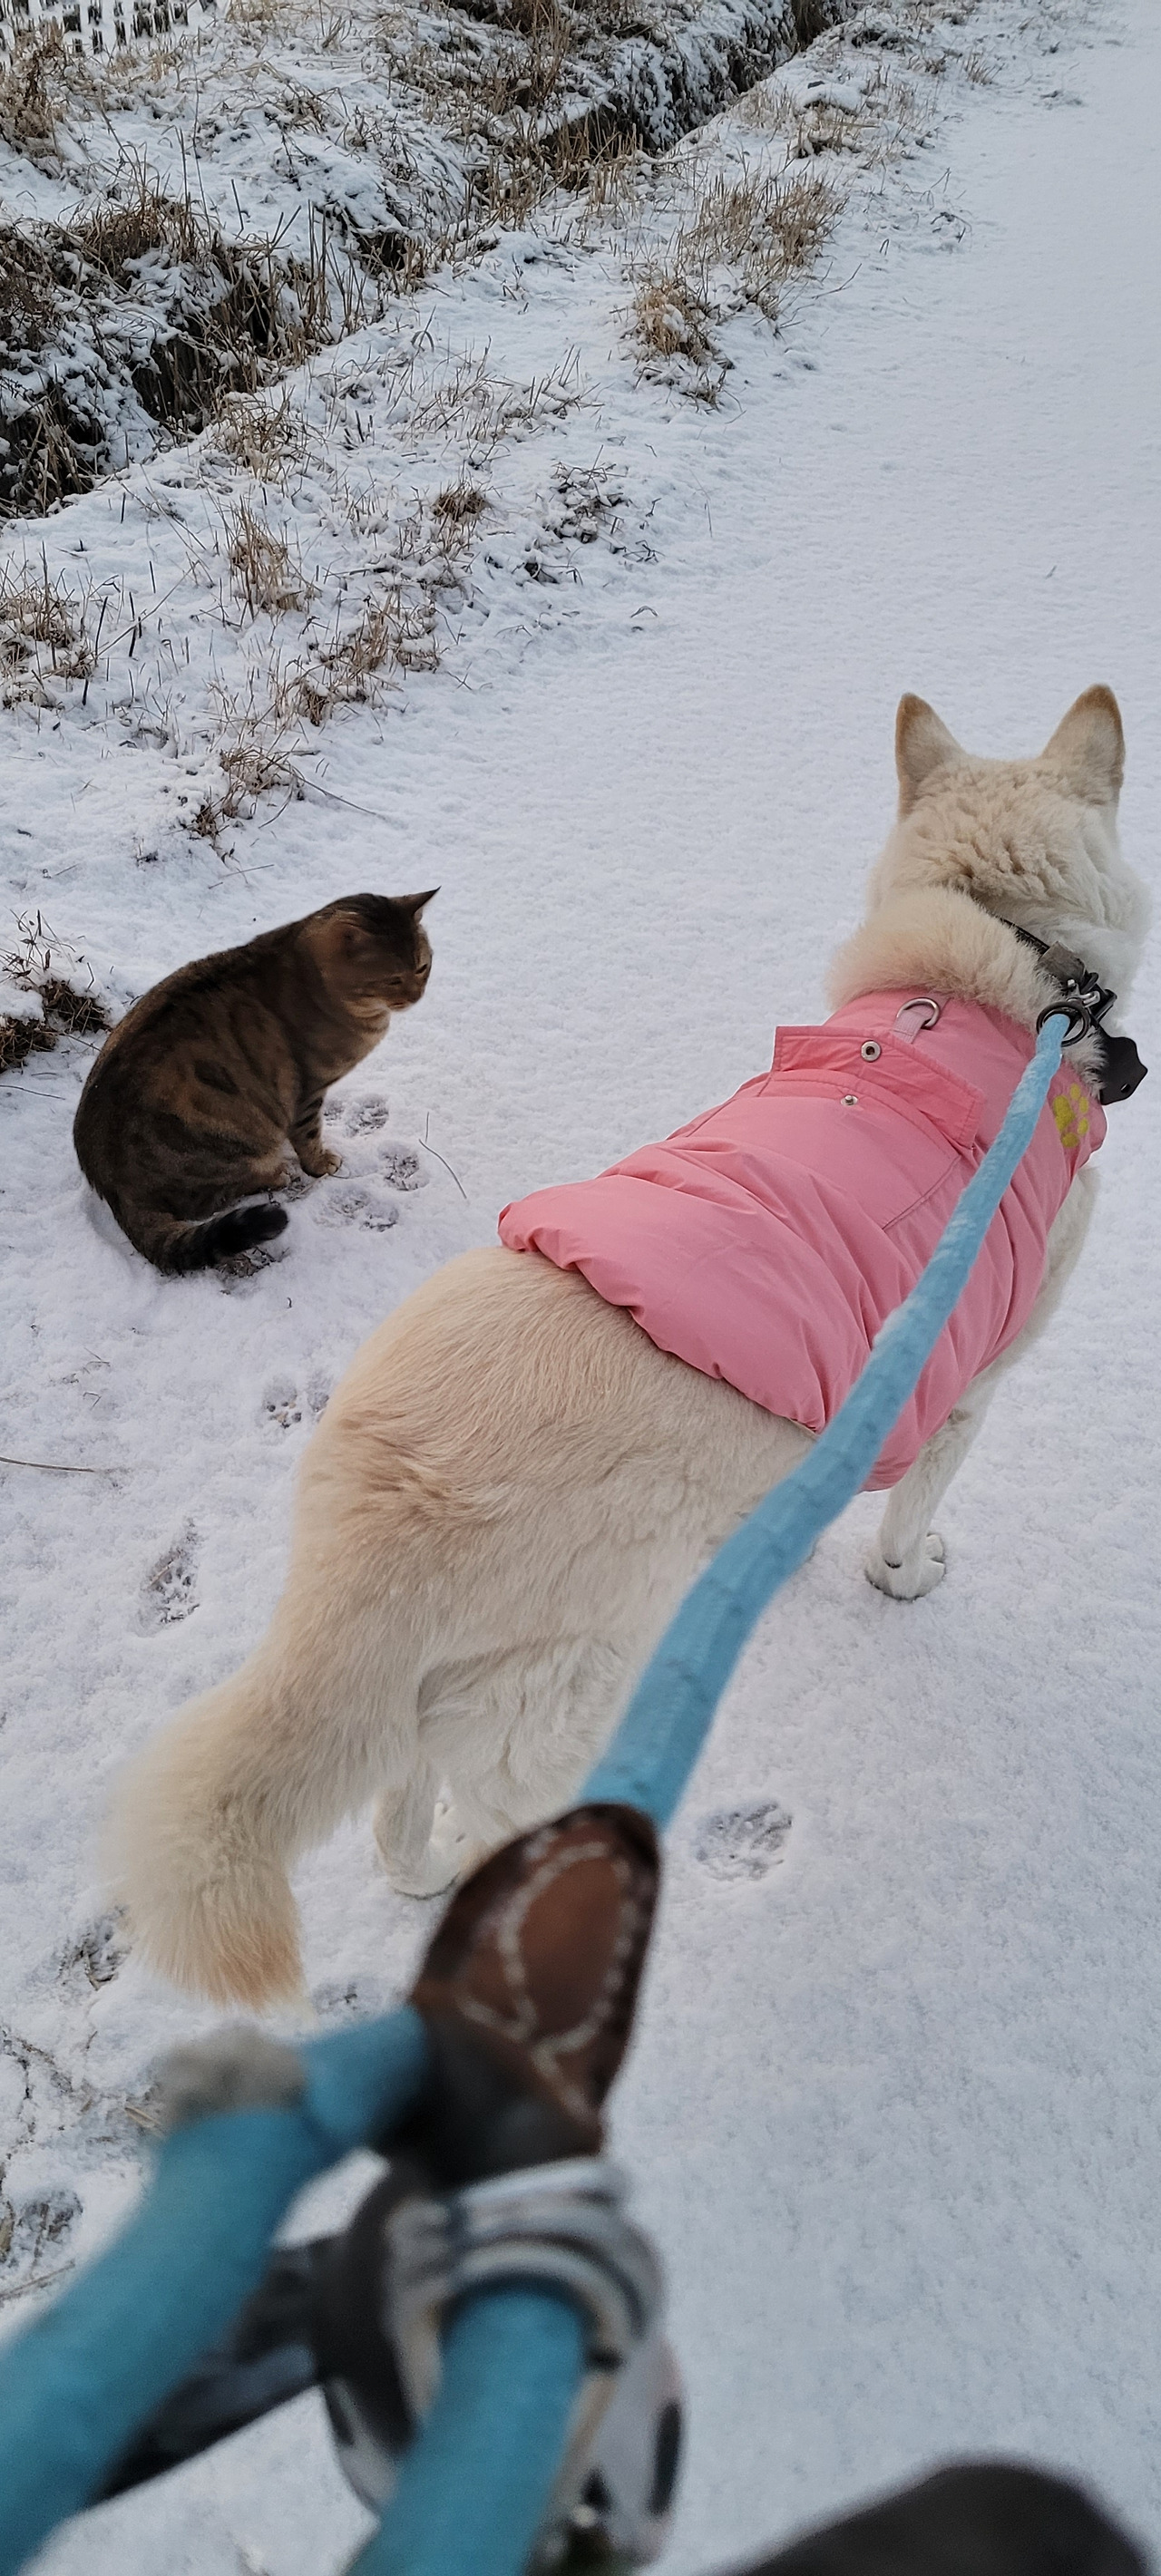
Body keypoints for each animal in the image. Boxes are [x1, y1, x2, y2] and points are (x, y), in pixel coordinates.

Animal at [73, 890, 435, 1273]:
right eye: (393, 979)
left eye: (422, 968)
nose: (418, 996)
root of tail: (115, 1190)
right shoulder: (308, 1090)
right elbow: (308, 1135)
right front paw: (320, 1163)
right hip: (231, 1144)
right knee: (217, 1195)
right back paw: (277, 1173)